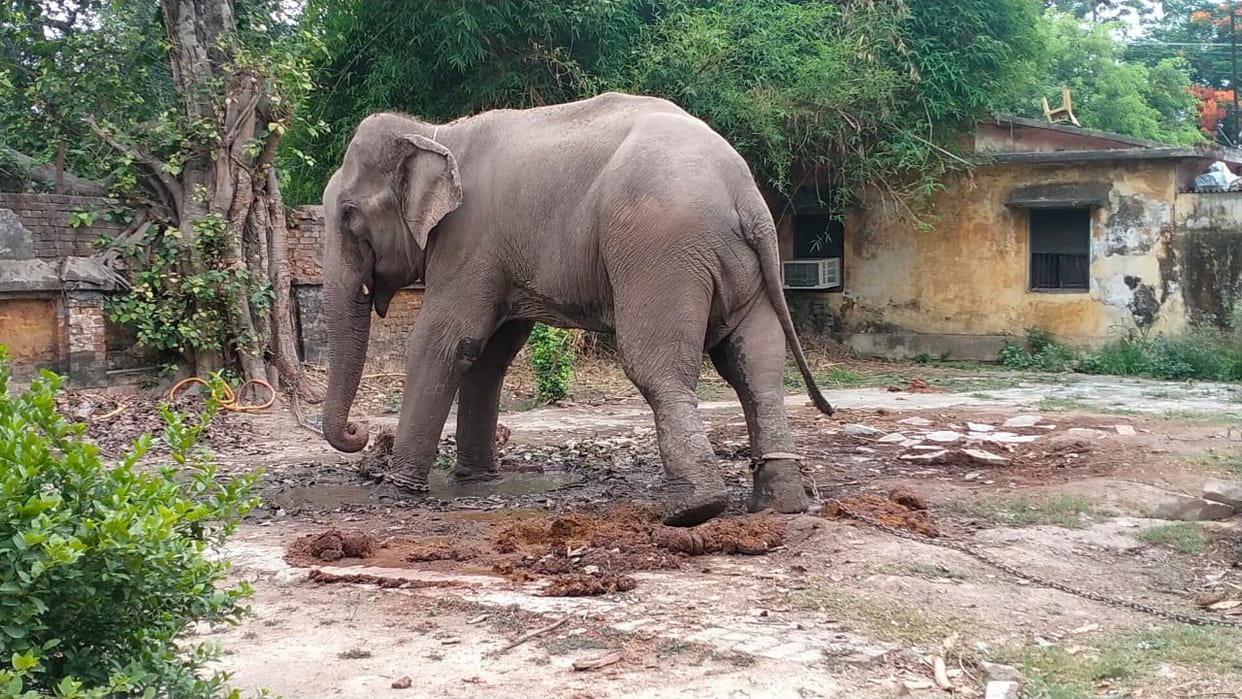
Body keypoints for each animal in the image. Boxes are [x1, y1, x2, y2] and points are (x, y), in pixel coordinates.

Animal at [320, 91, 834, 527]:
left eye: (349, 215)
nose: (360, 433)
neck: (434, 132)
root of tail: (745, 193)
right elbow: (490, 352)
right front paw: (476, 479)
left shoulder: (469, 240)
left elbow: (446, 341)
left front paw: (398, 488)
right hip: (738, 265)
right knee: (756, 367)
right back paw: (780, 505)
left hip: (660, 251)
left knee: (656, 367)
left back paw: (691, 510)